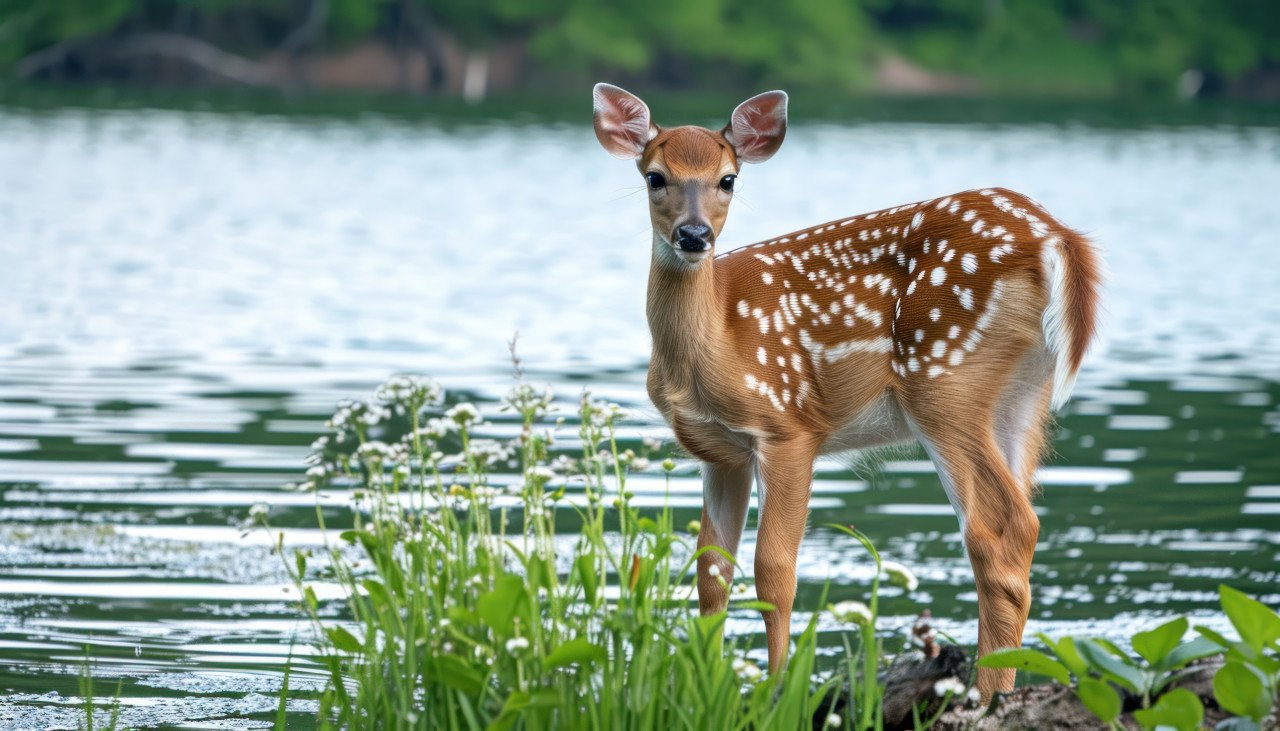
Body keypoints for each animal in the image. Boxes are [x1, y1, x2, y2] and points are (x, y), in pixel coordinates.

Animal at [591, 83, 1102, 698]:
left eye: (728, 178)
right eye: (655, 176)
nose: (694, 236)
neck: (712, 344)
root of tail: (1058, 237)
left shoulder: (787, 425)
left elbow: (774, 569)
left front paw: (776, 691)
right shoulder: (722, 453)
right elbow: (712, 573)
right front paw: (709, 689)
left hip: (944, 377)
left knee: (998, 530)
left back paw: (985, 695)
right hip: (1021, 396)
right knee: (1017, 531)